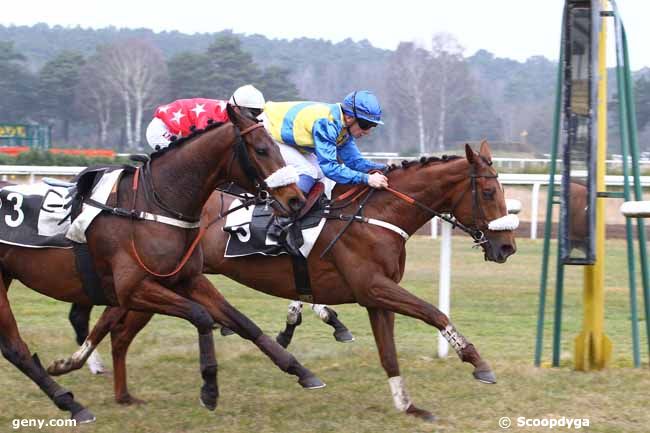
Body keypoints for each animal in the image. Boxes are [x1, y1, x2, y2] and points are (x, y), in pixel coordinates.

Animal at [0, 105, 326, 422]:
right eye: (261, 149)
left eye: (277, 147)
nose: (295, 200)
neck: (154, 205)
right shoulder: (133, 289)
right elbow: (201, 316)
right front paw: (209, 388)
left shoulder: (187, 279)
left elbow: (242, 321)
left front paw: (301, 371)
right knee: (17, 348)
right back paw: (72, 403)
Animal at [52, 140, 516, 420]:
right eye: (489, 193)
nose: (507, 247)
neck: (377, 214)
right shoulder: (373, 286)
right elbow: (434, 312)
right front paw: (478, 362)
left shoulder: (375, 296)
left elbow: (389, 353)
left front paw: (408, 405)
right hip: (163, 279)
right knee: (112, 321)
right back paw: (77, 363)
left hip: (169, 279)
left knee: (117, 325)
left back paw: (97, 375)